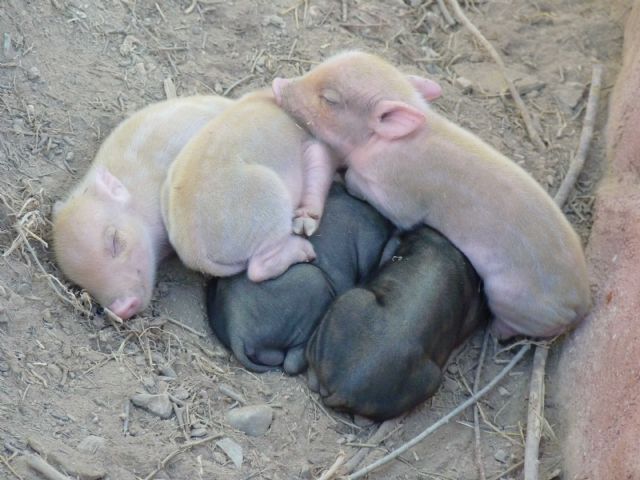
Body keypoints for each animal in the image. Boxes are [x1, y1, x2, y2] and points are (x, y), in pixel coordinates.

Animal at [161, 89, 337, 283]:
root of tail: (193, 253)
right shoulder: (310, 145)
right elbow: (319, 166)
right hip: (269, 204)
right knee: (257, 269)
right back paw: (306, 252)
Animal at [272, 51, 590, 339]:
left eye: (330, 99)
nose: (278, 83)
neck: (380, 145)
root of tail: (580, 304)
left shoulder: (399, 197)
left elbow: (365, 188)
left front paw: (345, 176)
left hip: (510, 298)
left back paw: (495, 332)